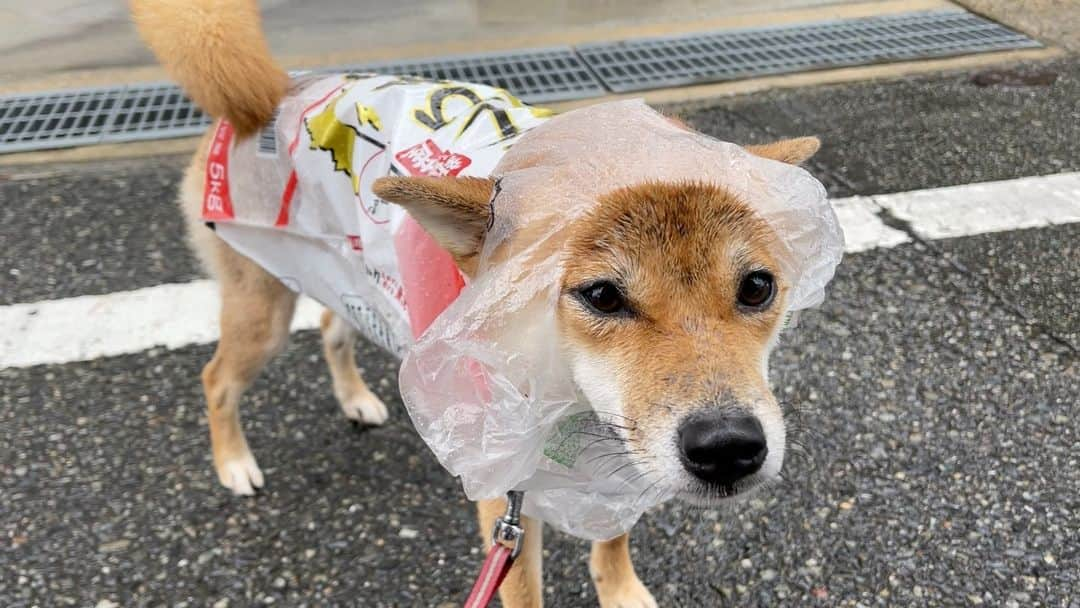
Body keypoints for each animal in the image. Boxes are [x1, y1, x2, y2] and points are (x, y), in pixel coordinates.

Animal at [135, 2, 825, 604]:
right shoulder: (507, 494)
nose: (728, 446)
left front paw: (622, 591)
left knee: (333, 324)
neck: (571, 406)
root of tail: (275, 89)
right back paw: (234, 462)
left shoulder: (618, 469)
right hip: (264, 310)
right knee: (216, 378)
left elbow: (613, 541)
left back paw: (355, 399)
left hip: (347, 275)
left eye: (757, 287)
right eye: (601, 295)